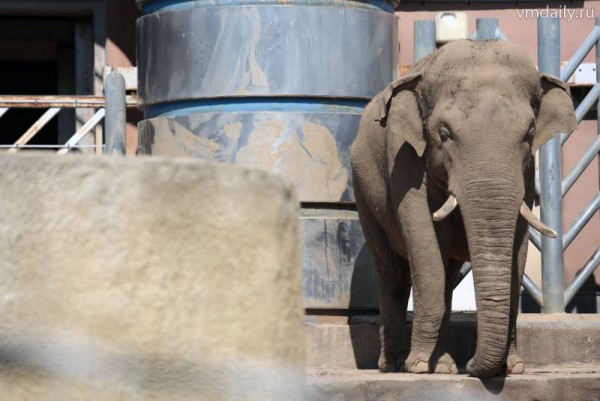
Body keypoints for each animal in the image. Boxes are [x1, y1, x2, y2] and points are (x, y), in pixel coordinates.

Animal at [352, 39, 576, 378]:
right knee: (393, 274)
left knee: (446, 273)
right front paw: (418, 366)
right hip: (364, 194)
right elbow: (425, 246)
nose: (470, 366)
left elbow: (519, 247)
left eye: (529, 133)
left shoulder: (525, 172)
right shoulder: (404, 160)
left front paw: (512, 368)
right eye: (444, 134)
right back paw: (395, 364)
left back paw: (443, 366)